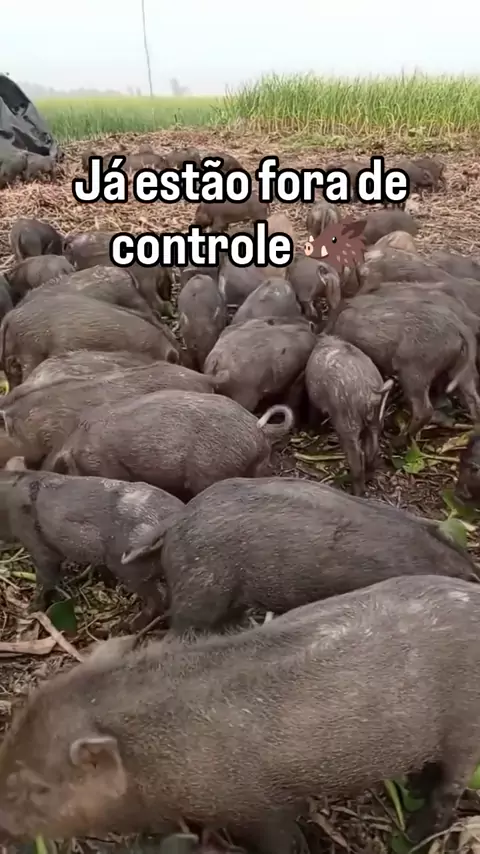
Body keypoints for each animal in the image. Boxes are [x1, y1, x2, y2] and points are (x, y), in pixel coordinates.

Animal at [0, 470, 184, 619]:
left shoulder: (39, 547)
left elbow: (44, 579)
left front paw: (29, 611)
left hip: (131, 570)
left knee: (159, 597)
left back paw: (129, 624)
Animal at [305, 335, 394, 494]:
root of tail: (370, 394)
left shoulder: (314, 400)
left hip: (347, 423)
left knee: (357, 458)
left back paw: (357, 492)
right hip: (376, 422)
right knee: (372, 450)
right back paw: (368, 479)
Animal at [331, 295, 480, 436]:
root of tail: (460, 327)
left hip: (414, 373)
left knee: (424, 410)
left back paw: (401, 438)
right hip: (459, 370)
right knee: (473, 399)